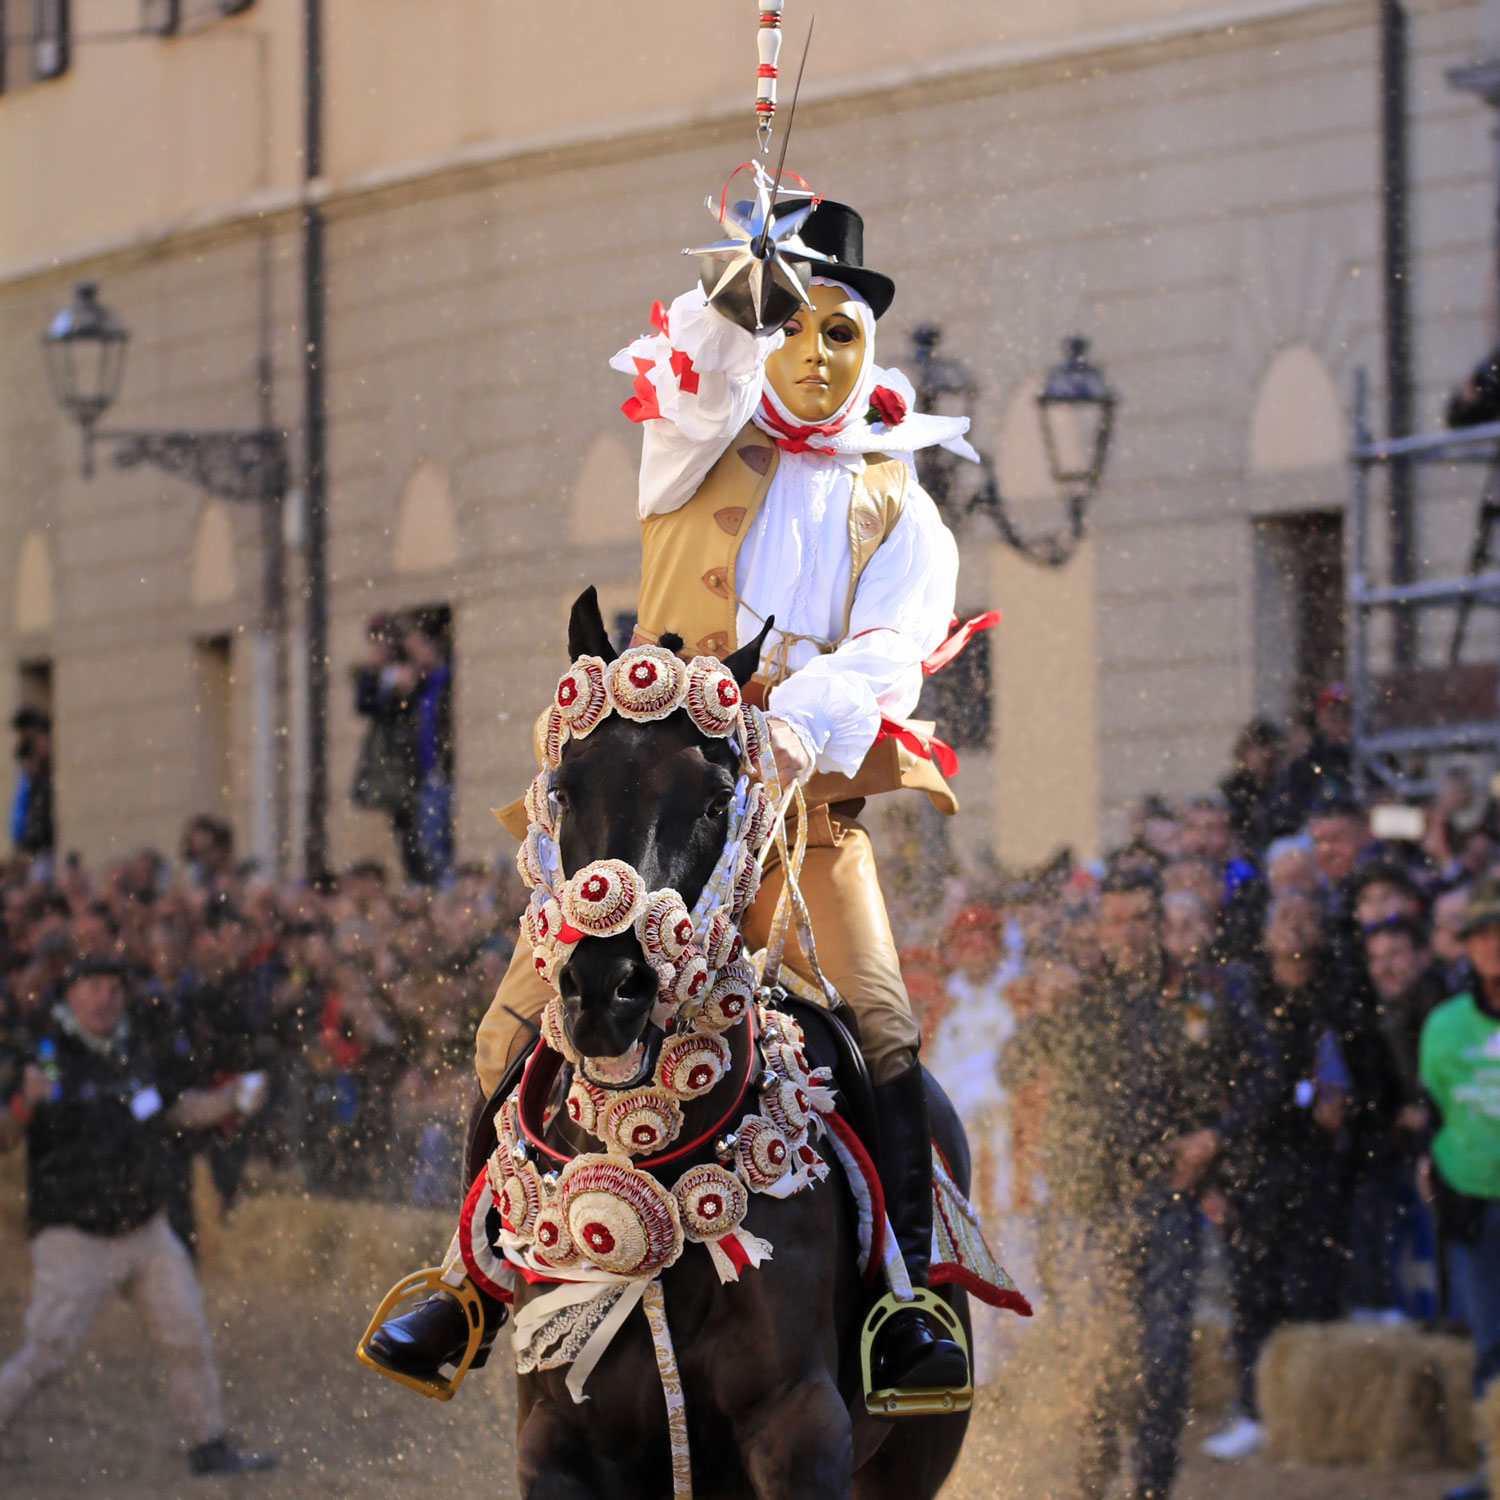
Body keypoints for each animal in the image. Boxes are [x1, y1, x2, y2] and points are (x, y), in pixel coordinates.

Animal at [504, 588, 972, 1500]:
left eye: (719, 800)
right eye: (567, 790)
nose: (606, 991)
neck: (655, 1158)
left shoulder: (799, 1429)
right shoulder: (556, 1440)